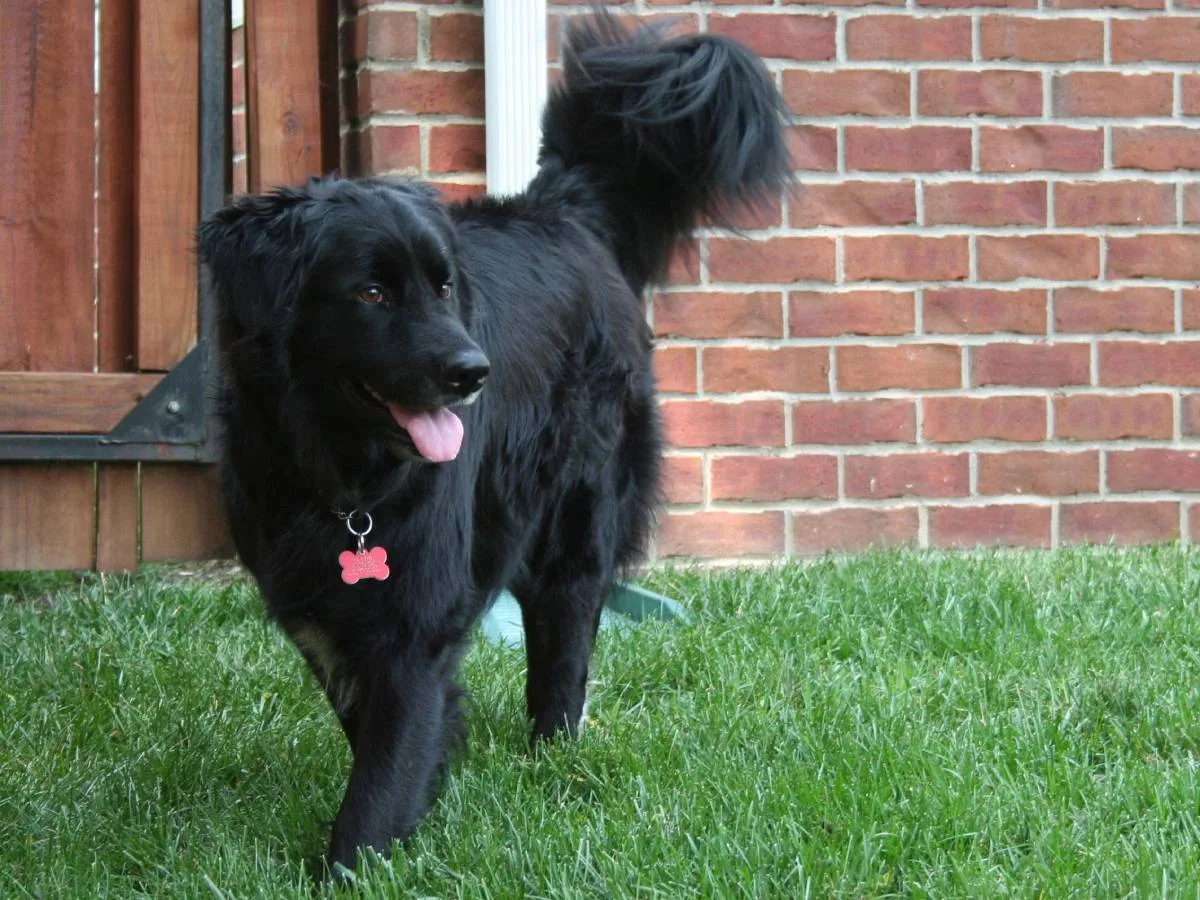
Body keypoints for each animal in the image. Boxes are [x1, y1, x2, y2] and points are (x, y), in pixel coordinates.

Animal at [199, 12, 787, 873]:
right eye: (370, 292)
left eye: (445, 287)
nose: (474, 372)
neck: (344, 481)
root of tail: (561, 208)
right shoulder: (322, 614)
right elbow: (379, 731)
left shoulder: (413, 624)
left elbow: (379, 780)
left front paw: (360, 861)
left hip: (578, 514)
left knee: (566, 638)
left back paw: (553, 756)